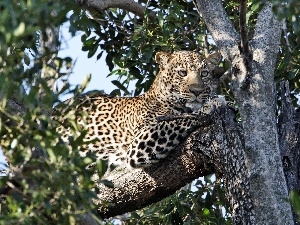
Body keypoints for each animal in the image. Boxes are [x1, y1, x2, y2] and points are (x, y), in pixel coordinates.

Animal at [54, 50, 223, 167]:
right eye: (182, 73)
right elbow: (176, 120)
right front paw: (212, 104)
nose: (197, 91)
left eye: (204, 73)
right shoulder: (138, 143)